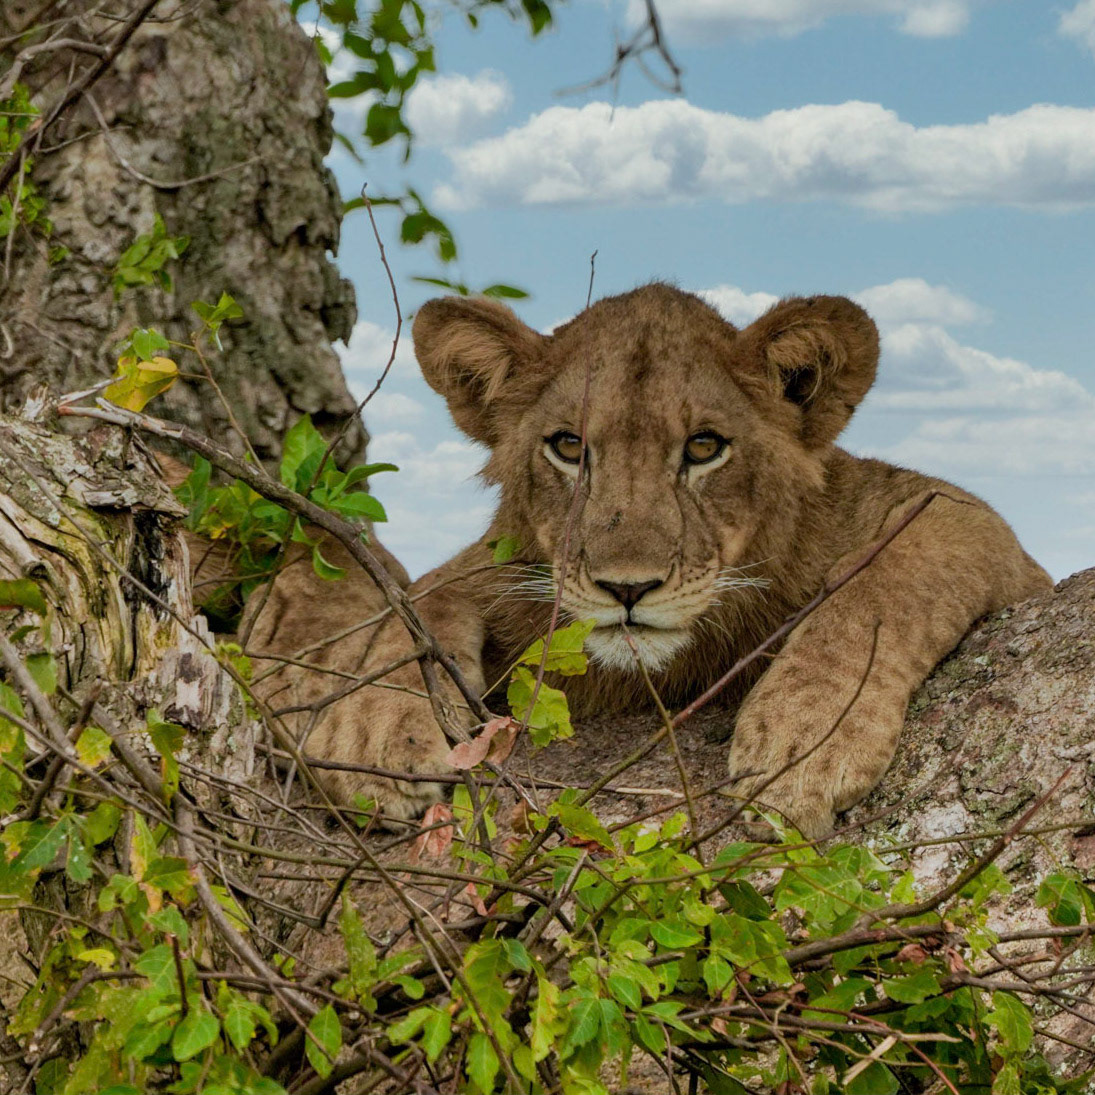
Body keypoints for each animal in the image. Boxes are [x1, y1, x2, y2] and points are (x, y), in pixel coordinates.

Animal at [243, 283, 1051, 839]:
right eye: (569, 446)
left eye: (703, 446)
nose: (625, 587)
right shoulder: (508, 567)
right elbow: (422, 595)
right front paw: (372, 725)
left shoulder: (959, 524)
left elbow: (885, 585)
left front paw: (805, 740)